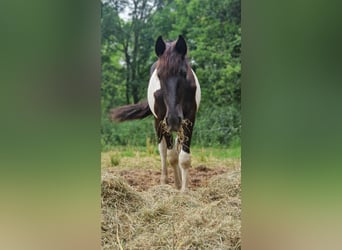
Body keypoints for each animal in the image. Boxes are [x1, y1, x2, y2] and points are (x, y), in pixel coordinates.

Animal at [109, 35, 200, 191]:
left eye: (183, 73)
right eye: (159, 75)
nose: (173, 119)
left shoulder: (190, 118)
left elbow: (184, 157)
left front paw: (184, 190)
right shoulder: (164, 121)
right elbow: (172, 156)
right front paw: (177, 185)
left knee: (177, 144)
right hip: (158, 123)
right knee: (163, 150)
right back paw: (164, 180)